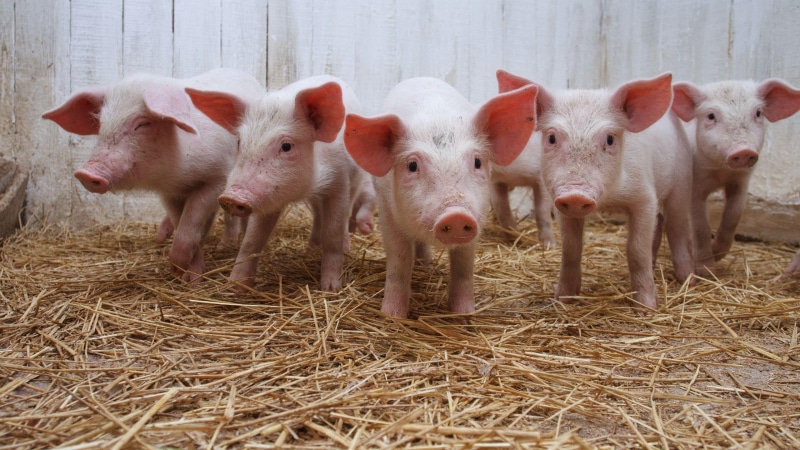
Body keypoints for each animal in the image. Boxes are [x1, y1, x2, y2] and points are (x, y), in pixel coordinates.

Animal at [42, 68, 264, 283]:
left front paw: (183, 273)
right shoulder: (168, 193)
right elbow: (181, 221)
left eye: (142, 124)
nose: (85, 173)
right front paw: (187, 276)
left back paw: (227, 245)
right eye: (101, 123)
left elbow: (190, 221)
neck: (178, 174)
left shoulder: (218, 178)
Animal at [186, 75, 373, 291]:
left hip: (356, 180)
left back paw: (343, 247)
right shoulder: (267, 198)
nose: (231, 197)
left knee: (346, 214)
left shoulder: (339, 182)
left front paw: (331, 288)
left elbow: (333, 234)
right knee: (318, 215)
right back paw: (310, 249)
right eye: (240, 142)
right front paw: (235, 286)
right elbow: (251, 240)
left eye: (286, 146)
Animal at [343, 77, 538, 318]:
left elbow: (464, 265)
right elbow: (399, 260)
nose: (456, 215)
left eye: (477, 162)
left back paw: (425, 265)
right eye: (412, 165)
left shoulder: (476, 219)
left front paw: (464, 315)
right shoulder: (387, 213)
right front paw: (392, 316)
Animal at [497, 70, 694, 310]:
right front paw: (562, 300)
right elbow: (571, 249)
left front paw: (647, 308)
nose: (575, 194)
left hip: (682, 182)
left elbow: (637, 249)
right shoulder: (561, 206)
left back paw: (689, 281)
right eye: (552, 137)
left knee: (677, 227)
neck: (610, 200)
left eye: (609, 139)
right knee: (659, 225)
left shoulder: (644, 196)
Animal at [671, 79, 800, 275]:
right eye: (711, 116)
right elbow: (701, 226)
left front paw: (718, 253)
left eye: (758, 113)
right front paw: (707, 270)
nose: (743, 150)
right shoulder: (694, 186)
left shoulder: (741, 181)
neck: (721, 172)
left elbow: (734, 215)